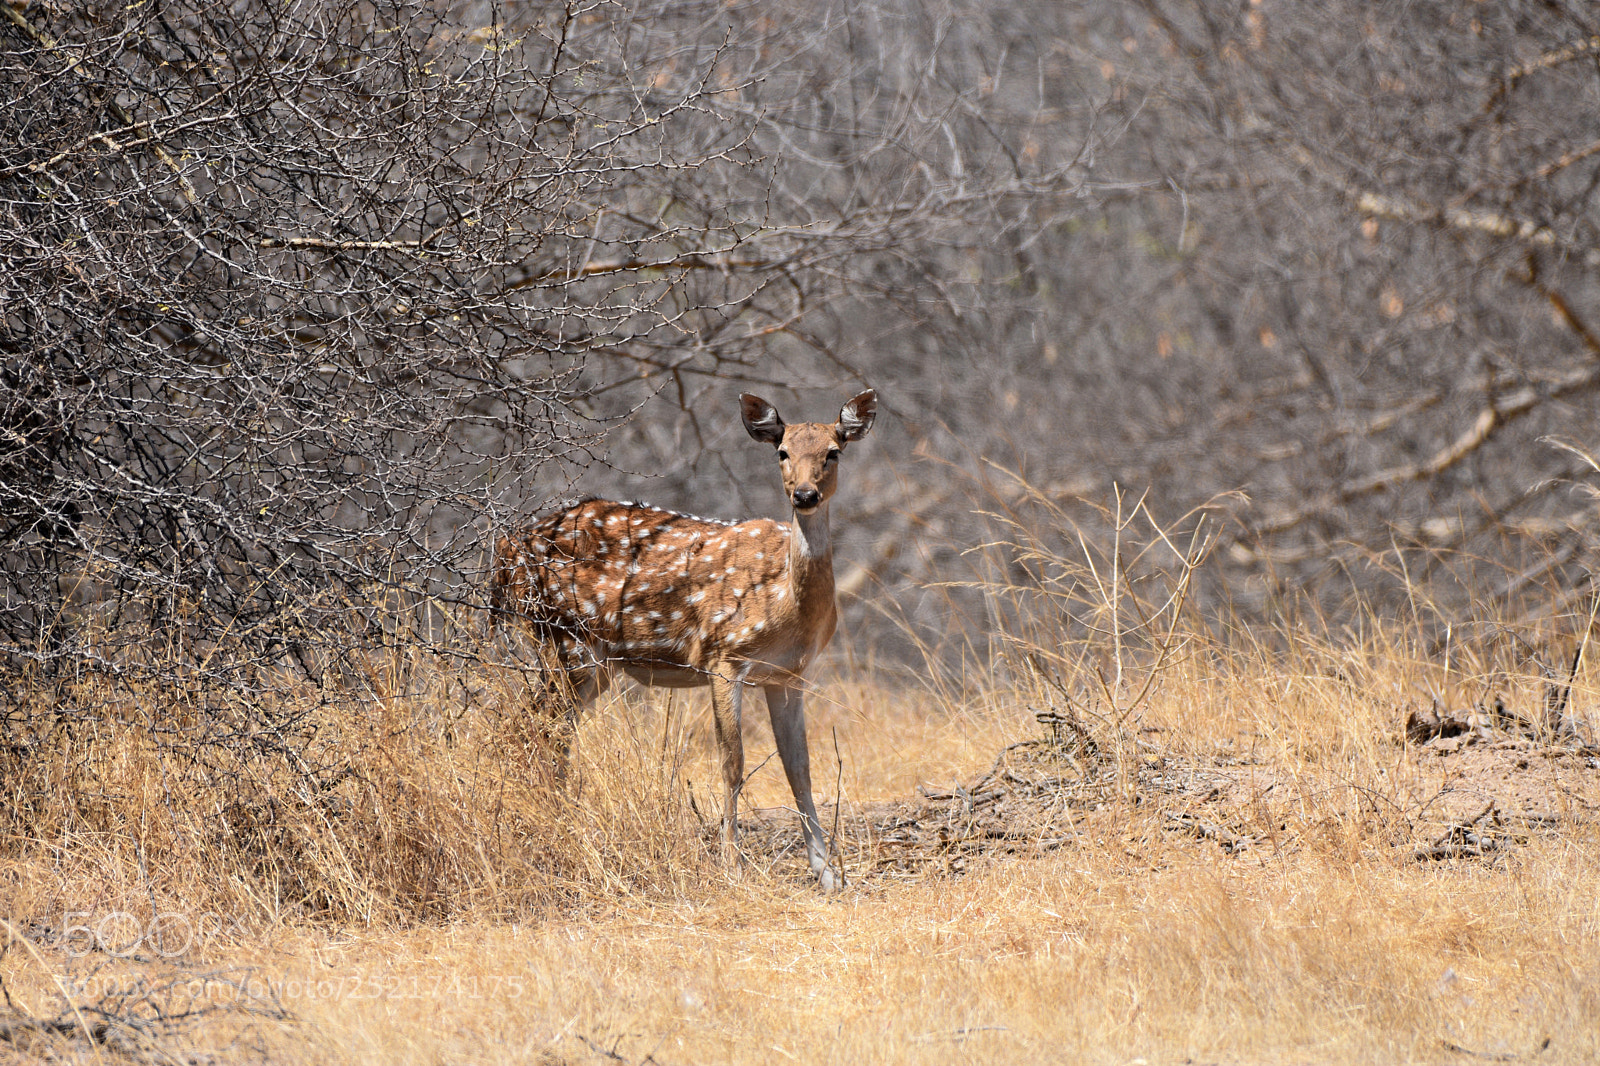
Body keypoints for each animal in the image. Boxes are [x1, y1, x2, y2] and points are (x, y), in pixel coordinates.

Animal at [491, 389, 878, 892]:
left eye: (833, 452)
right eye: (782, 452)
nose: (805, 495)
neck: (786, 605)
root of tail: (505, 553)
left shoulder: (787, 675)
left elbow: (801, 768)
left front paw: (827, 874)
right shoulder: (724, 655)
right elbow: (732, 762)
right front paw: (733, 865)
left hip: (587, 662)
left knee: (545, 734)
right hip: (565, 640)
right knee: (531, 729)